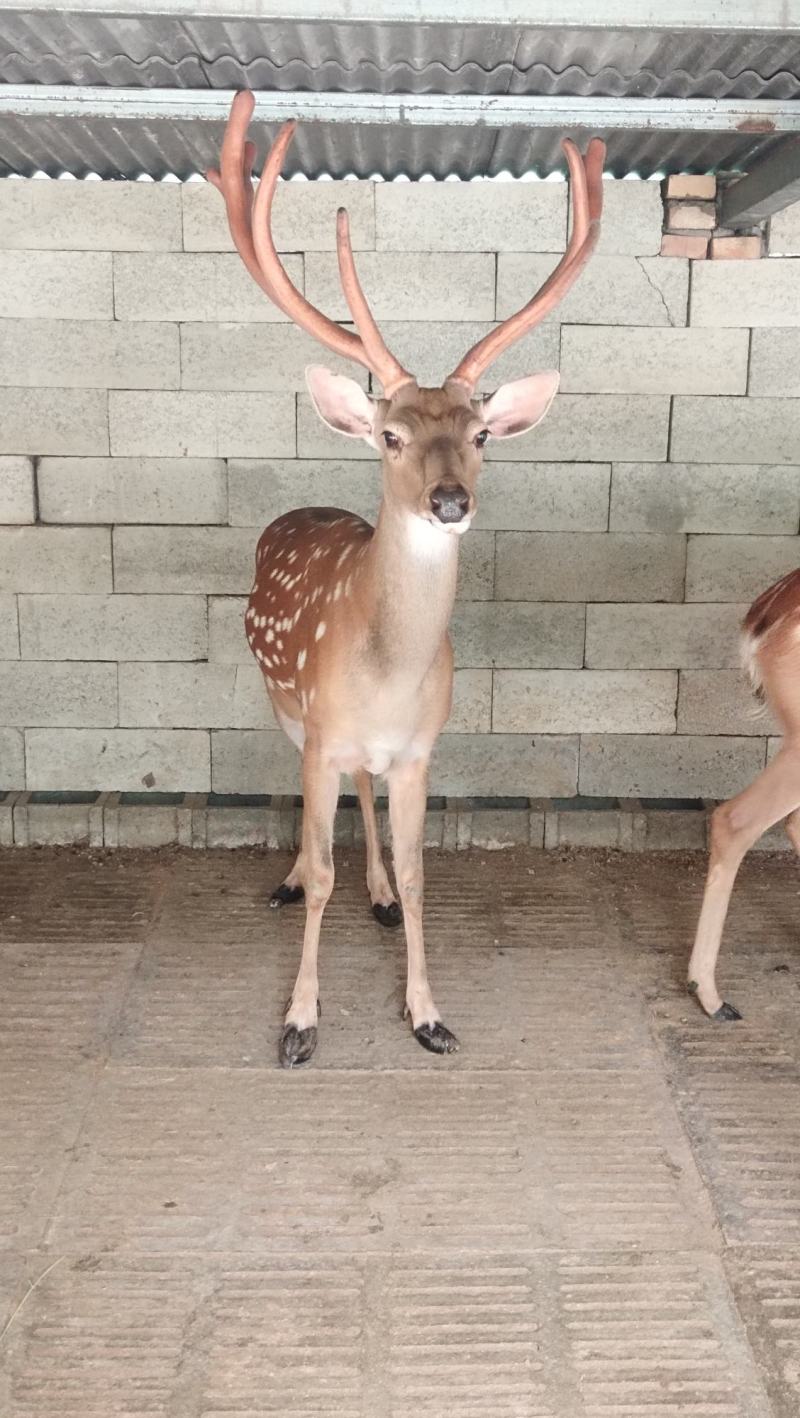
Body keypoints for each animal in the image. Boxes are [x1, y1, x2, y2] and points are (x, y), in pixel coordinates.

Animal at [208, 91, 605, 1067]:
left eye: (483, 432)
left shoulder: (423, 750)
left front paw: (428, 1013)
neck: (385, 675)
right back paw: (288, 882)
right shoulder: (319, 732)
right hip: (280, 700)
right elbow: (321, 872)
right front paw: (299, 1023)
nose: (451, 499)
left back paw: (380, 896)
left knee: (367, 794)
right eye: (390, 435)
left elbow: (426, 875)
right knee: (310, 805)